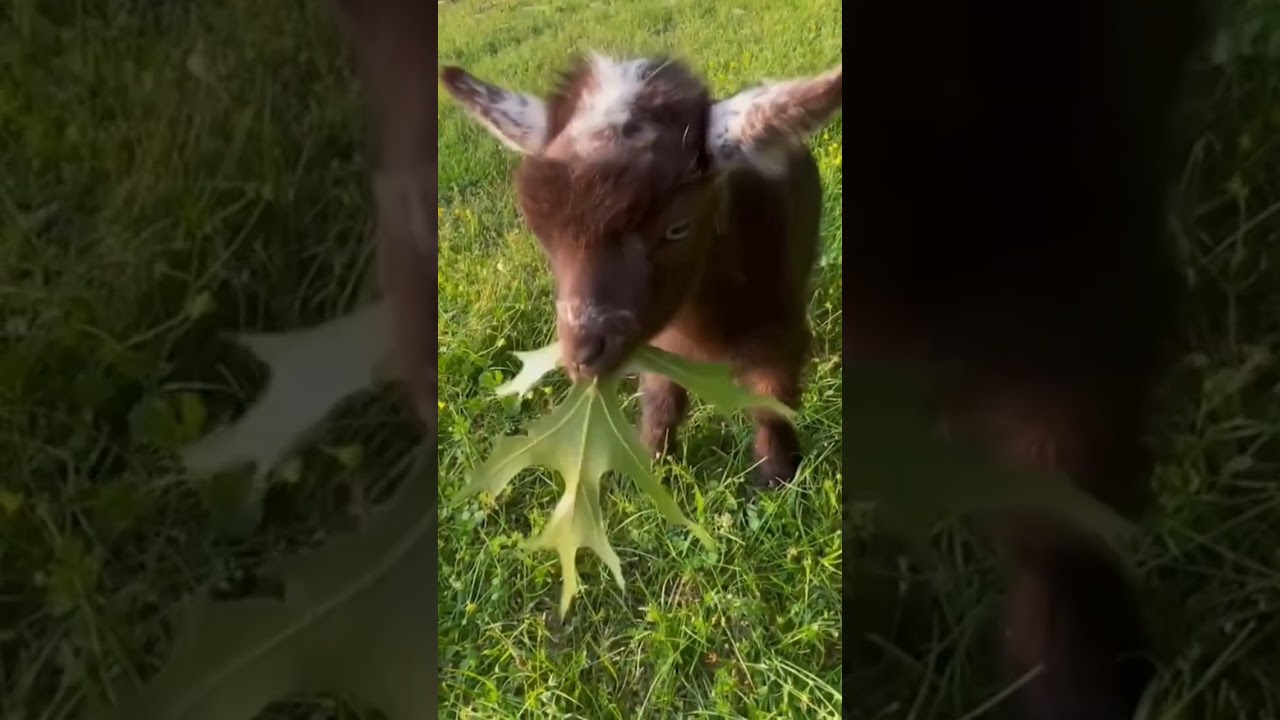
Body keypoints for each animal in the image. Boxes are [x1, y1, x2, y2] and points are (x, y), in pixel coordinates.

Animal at [440, 55, 843, 487]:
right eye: (541, 231)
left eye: (678, 227)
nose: (582, 357)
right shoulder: (659, 346)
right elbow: (662, 401)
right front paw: (652, 460)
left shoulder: (781, 333)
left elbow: (772, 404)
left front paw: (777, 474)